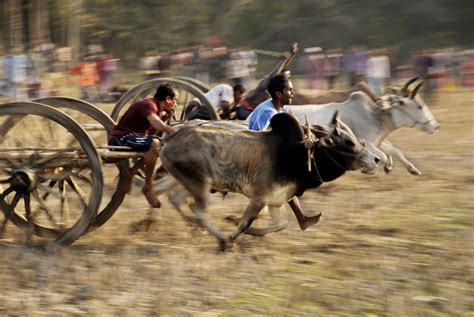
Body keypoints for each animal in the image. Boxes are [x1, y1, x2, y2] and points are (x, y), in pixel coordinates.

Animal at [161, 111, 380, 249]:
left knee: (178, 200)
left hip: (193, 183)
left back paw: (195, 226)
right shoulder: (259, 197)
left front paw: (242, 226)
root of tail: (170, 139)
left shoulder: (275, 199)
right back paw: (221, 240)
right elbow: (245, 223)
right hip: (199, 184)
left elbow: (279, 224)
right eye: (348, 142)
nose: (376, 159)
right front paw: (232, 235)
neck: (297, 154)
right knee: (198, 210)